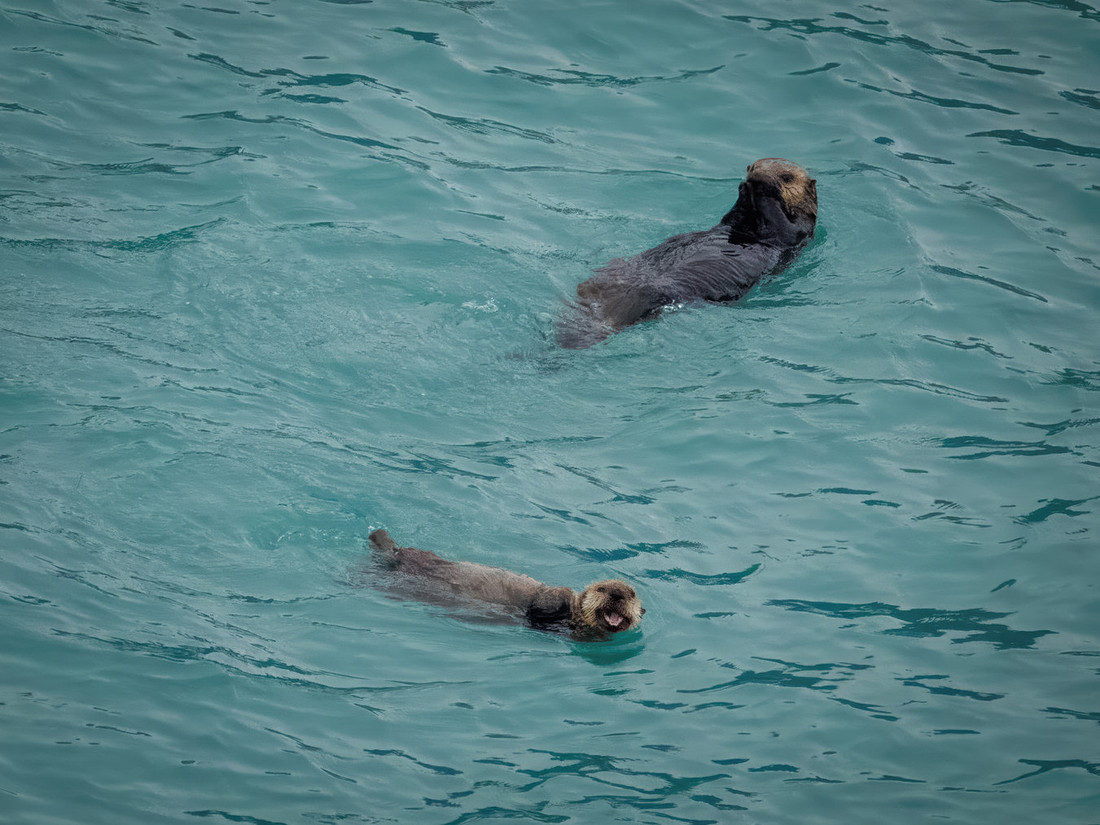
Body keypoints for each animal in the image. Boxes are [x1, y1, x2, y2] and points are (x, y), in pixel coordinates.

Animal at [368, 529, 643, 639]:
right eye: (601, 589)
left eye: (631, 593)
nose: (617, 594)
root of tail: (399, 551)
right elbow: (546, 600)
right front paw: (567, 594)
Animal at [556, 158, 818, 348]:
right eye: (752, 166)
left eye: (787, 177)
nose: (754, 175)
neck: (752, 222)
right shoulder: (735, 221)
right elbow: (732, 216)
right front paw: (744, 189)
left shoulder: (796, 231)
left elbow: (781, 222)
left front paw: (759, 189)